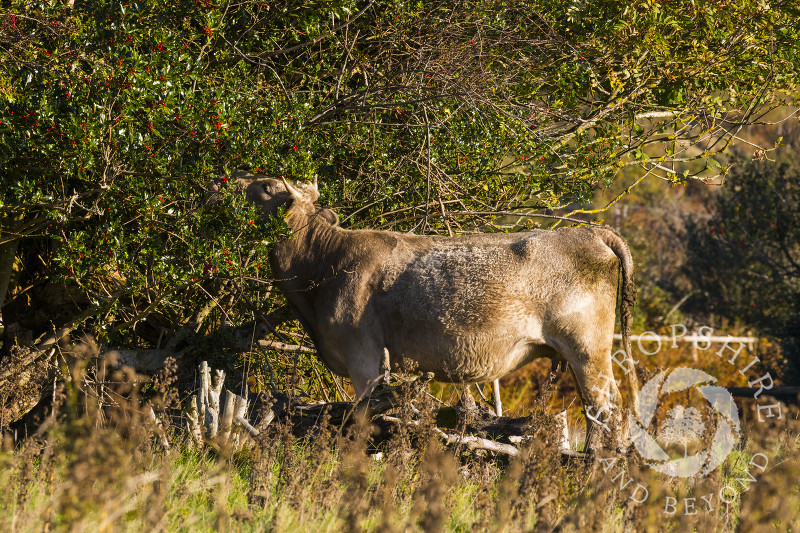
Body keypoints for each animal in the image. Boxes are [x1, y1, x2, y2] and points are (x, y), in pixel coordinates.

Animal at [236, 170, 636, 448]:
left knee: (611, 411)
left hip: (588, 350)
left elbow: (363, 416)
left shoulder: (362, 356)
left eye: (266, 186)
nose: (232, 178)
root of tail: (592, 231)